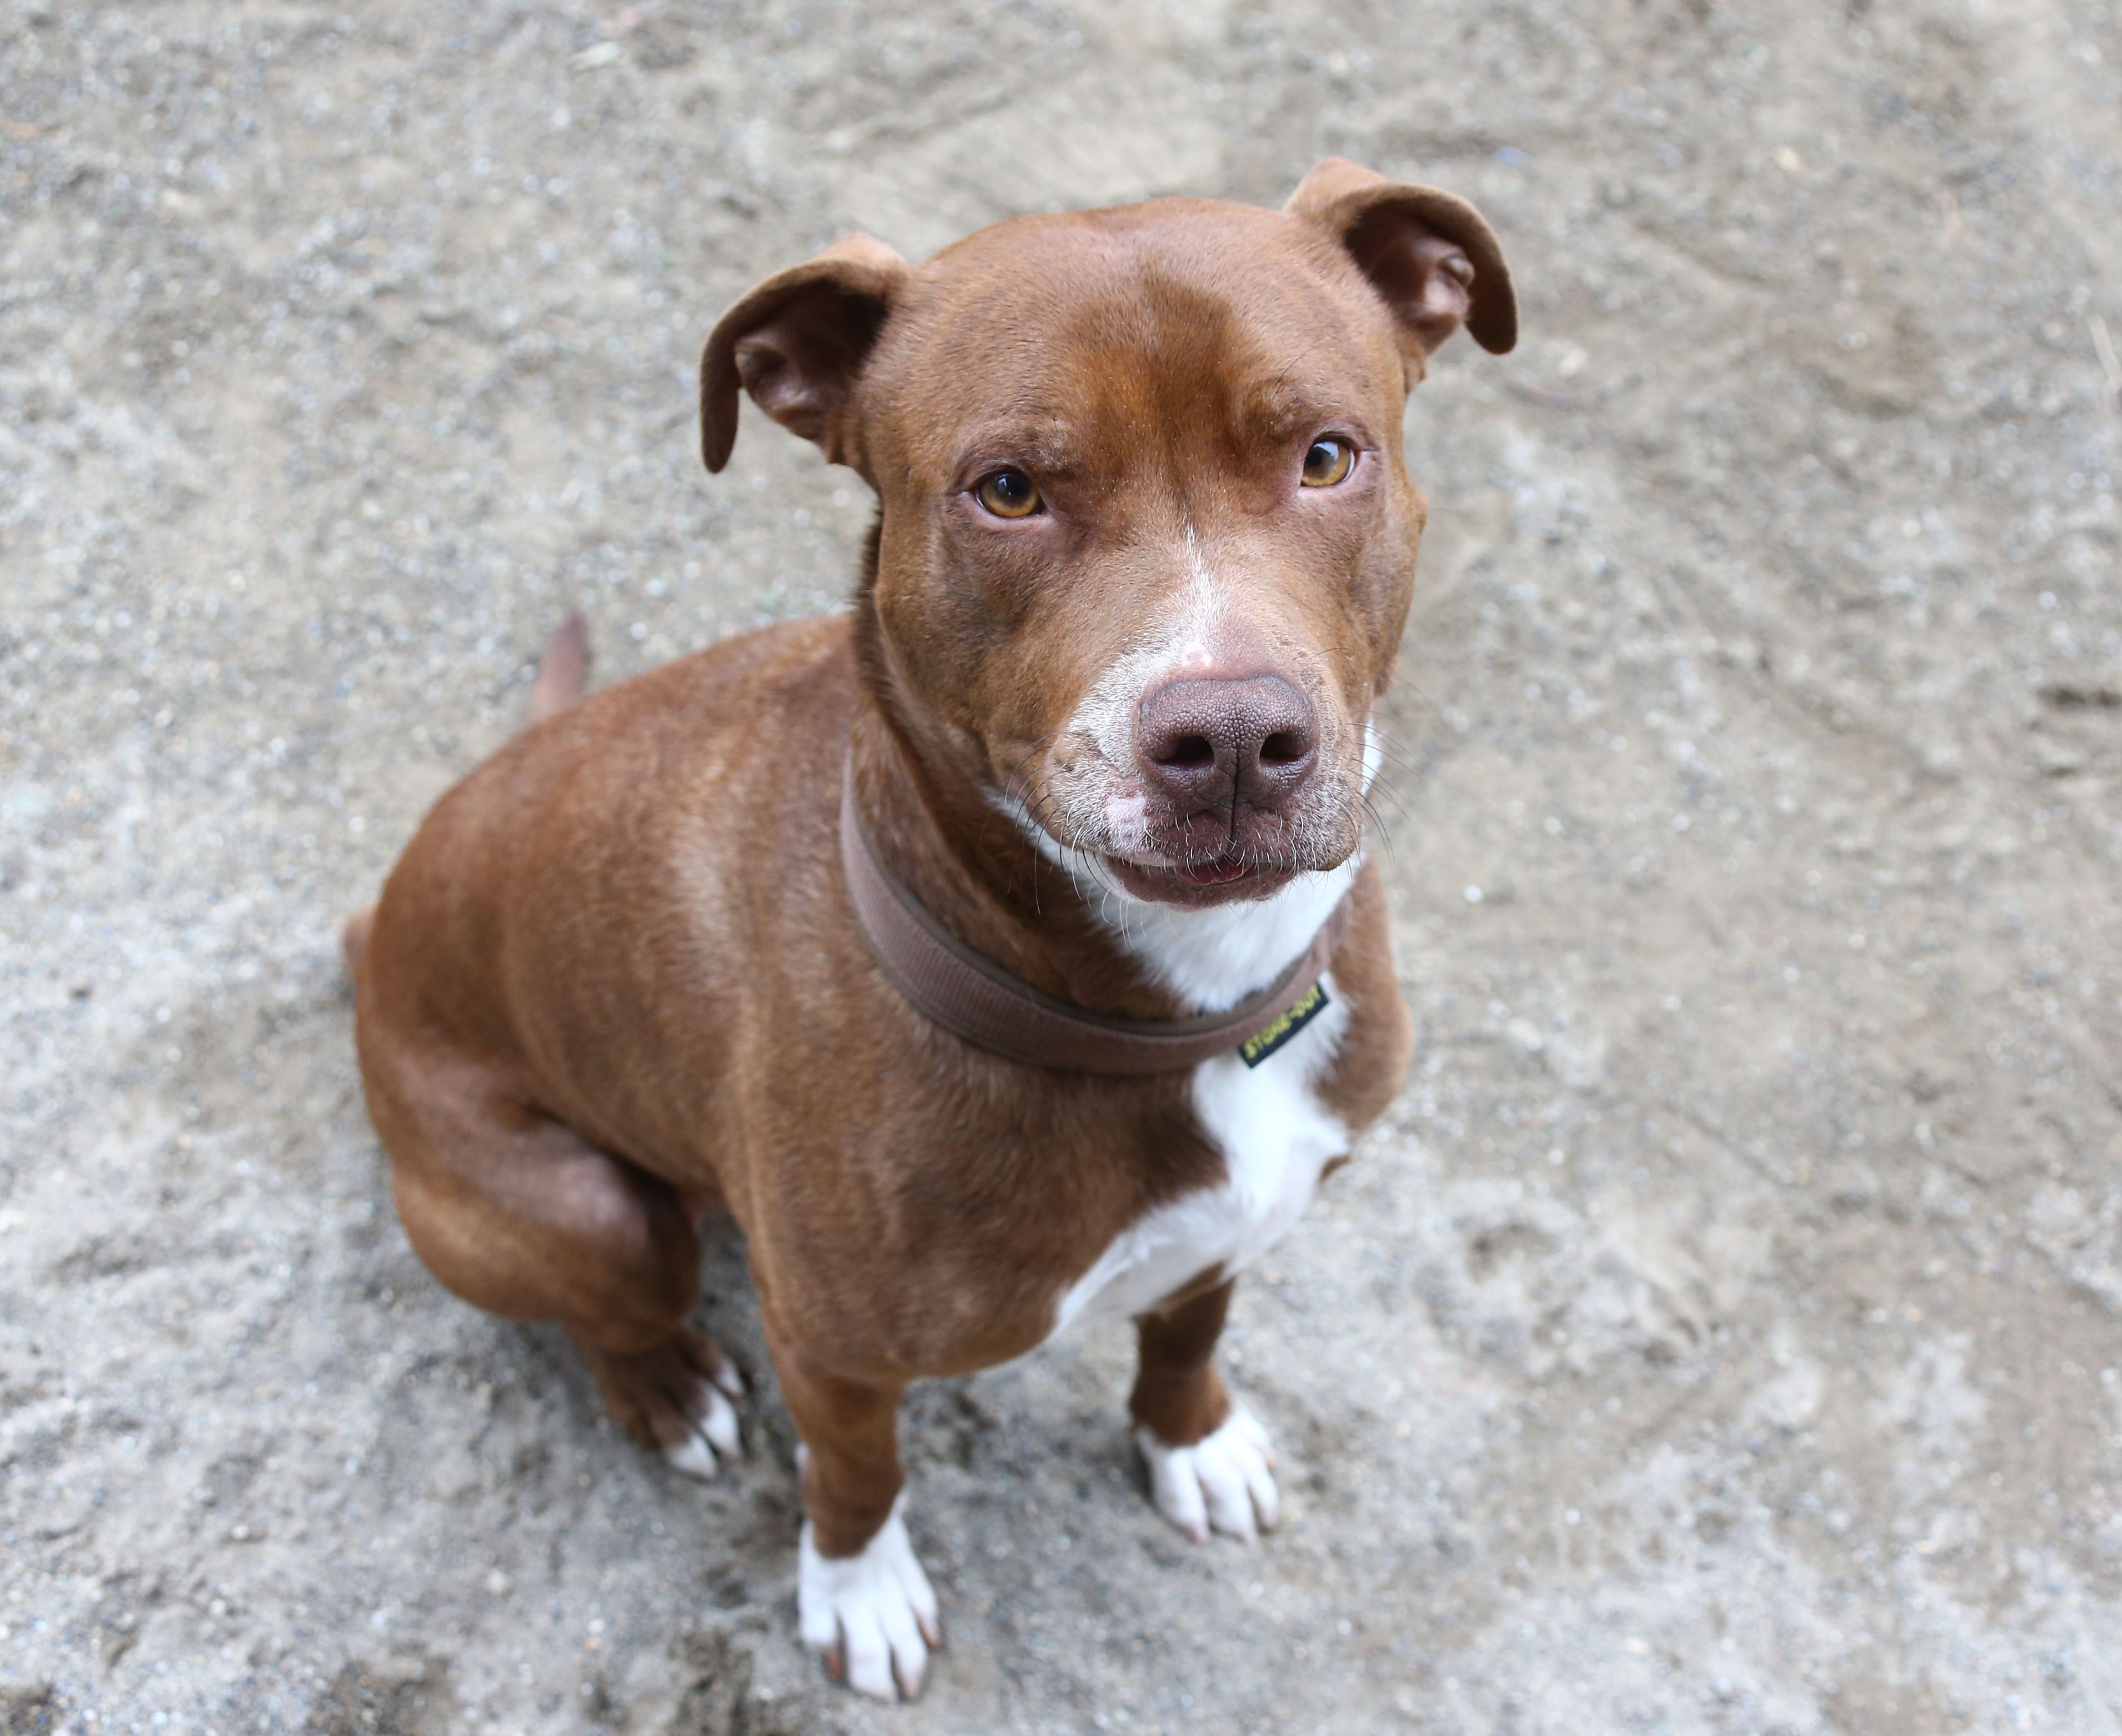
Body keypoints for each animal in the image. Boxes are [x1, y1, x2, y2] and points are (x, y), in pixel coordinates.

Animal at [348, 155, 1510, 1698]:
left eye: (1324, 456)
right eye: (1007, 490)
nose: (1232, 740)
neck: (1172, 1016)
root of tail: (379, 924)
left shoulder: (1234, 1227)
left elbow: (1187, 1325)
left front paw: (1191, 1439)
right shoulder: (833, 1351)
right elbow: (854, 1473)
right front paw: (859, 1592)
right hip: (581, 1209)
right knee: (610, 1305)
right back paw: (666, 1389)